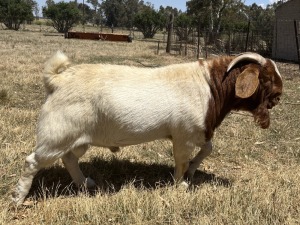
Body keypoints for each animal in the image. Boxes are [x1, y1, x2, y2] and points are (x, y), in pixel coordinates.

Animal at [11, 51, 282, 206]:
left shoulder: (197, 131)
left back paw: (85, 184)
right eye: (266, 78)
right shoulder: (183, 136)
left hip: (78, 139)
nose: (279, 96)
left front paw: (192, 172)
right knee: (33, 161)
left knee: (69, 158)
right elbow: (181, 161)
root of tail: (58, 79)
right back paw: (18, 198)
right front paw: (180, 185)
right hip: (57, 134)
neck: (211, 86)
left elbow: (207, 149)